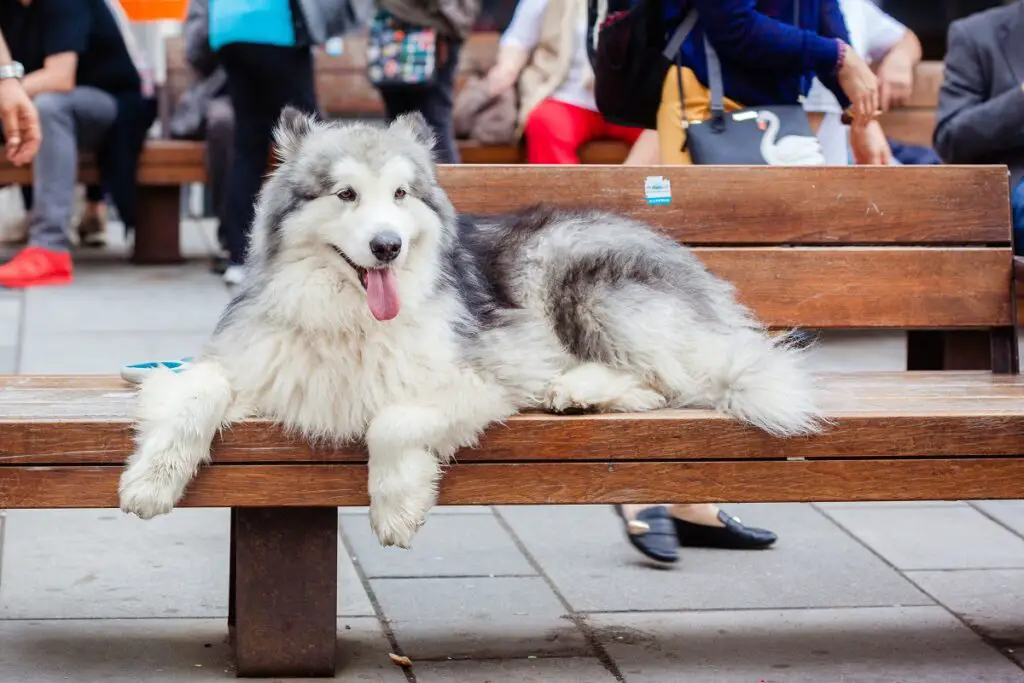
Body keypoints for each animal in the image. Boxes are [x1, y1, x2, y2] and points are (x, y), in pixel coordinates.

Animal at [119, 112, 823, 548]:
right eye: (345, 194)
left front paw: (397, 506)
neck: (349, 316)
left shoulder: (486, 371)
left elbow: (393, 420)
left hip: (575, 276)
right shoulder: (260, 364)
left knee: (674, 380)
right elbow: (195, 391)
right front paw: (152, 481)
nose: (388, 246)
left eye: (401, 194)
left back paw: (581, 388)